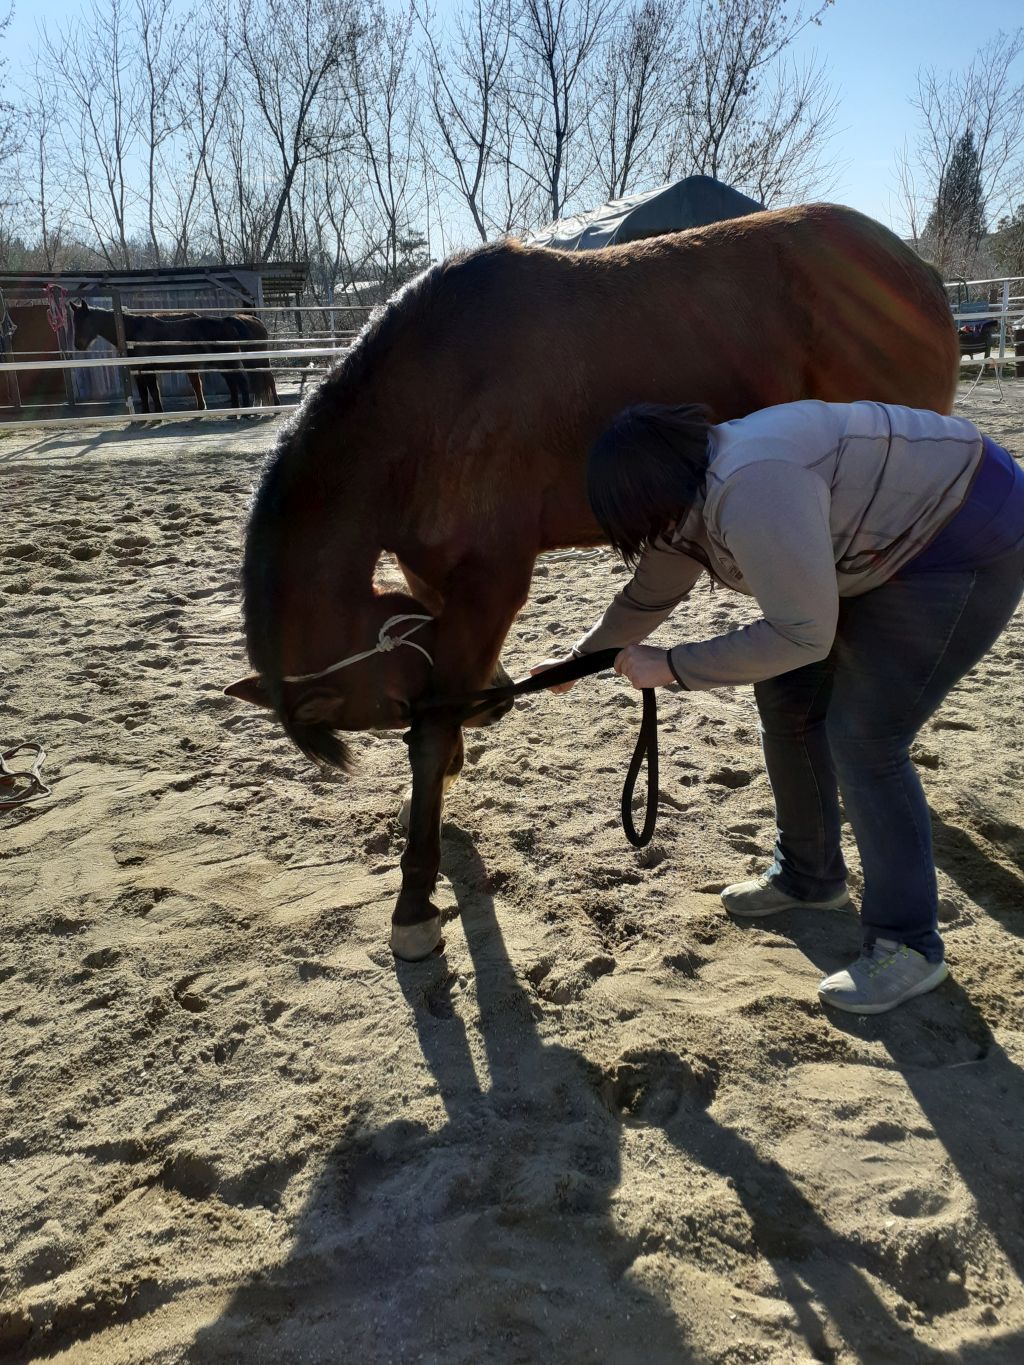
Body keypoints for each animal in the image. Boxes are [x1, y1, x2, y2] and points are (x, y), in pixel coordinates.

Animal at [69, 300, 276, 413]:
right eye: (74, 321)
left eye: (84, 321)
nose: (78, 345)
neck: (132, 330)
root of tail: (228, 321)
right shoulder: (139, 371)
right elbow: (144, 394)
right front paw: (145, 415)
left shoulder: (148, 369)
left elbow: (153, 392)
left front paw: (157, 414)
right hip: (223, 364)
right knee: (234, 383)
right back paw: (235, 411)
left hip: (228, 362)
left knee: (241, 382)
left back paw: (246, 411)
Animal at [224, 203, 960, 963]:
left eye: (389, 709)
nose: (496, 702)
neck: (431, 400)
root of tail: (915, 271)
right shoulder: (429, 576)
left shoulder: (493, 581)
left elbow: (430, 732)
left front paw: (415, 903)